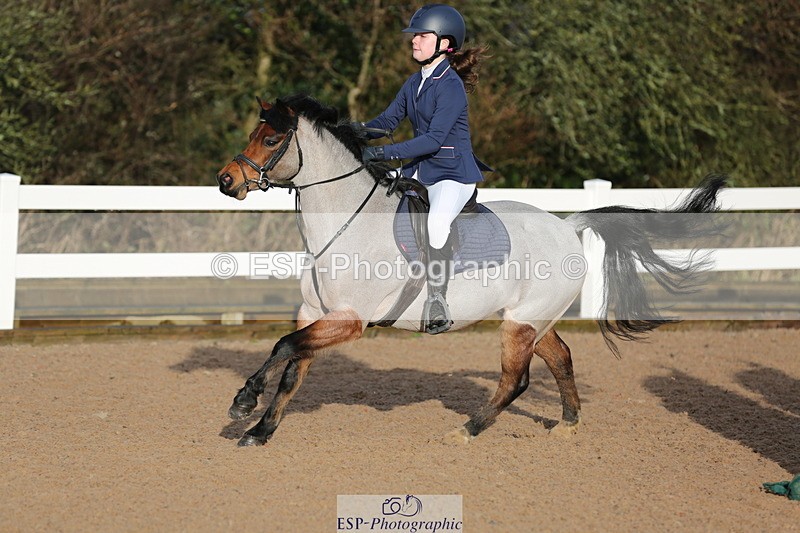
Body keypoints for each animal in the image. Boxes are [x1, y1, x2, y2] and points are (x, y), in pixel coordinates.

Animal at [215, 94, 725, 447]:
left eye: (271, 139)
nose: (226, 180)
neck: (345, 223)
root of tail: (567, 225)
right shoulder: (314, 313)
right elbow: (291, 370)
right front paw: (259, 431)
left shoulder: (350, 320)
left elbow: (283, 347)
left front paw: (243, 403)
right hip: (532, 319)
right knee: (561, 358)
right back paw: (566, 425)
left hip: (520, 325)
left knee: (516, 380)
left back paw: (467, 430)